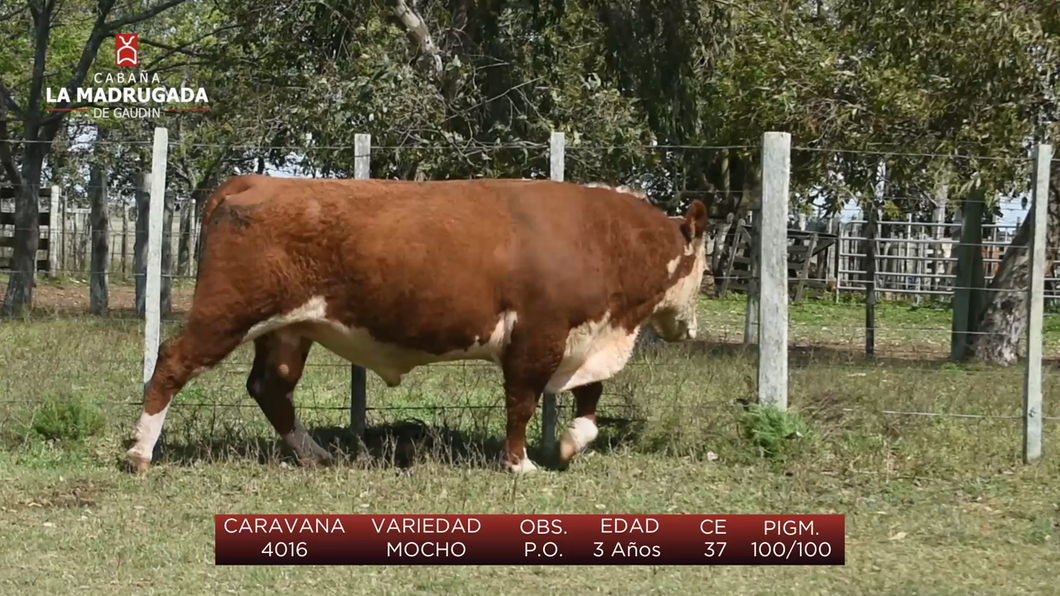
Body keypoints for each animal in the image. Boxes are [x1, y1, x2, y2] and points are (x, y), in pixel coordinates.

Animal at [126, 173, 703, 470]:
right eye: (704, 266)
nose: (690, 328)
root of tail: (259, 179)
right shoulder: (537, 337)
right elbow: (521, 403)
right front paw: (520, 464)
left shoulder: (585, 340)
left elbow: (589, 402)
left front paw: (567, 444)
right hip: (227, 312)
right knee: (172, 362)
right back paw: (139, 452)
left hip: (286, 329)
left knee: (271, 387)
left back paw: (316, 454)